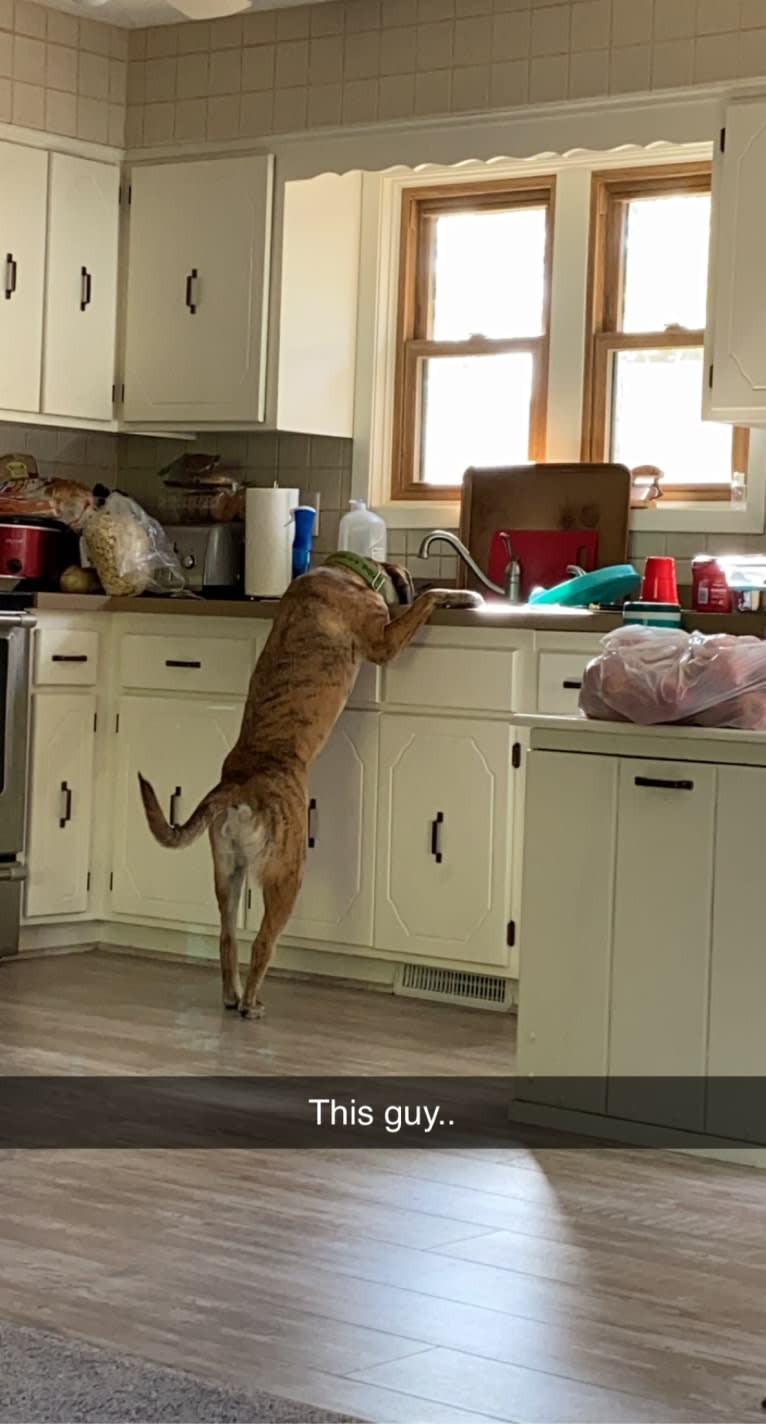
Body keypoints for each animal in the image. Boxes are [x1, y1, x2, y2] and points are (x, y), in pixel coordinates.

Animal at [137, 561, 481, 1019]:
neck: (347, 571)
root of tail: (239, 789)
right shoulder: (384, 641)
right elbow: (426, 601)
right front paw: (458, 595)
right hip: (288, 874)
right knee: (263, 943)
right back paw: (251, 1004)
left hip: (226, 872)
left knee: (227, 939)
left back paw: (231, 996)